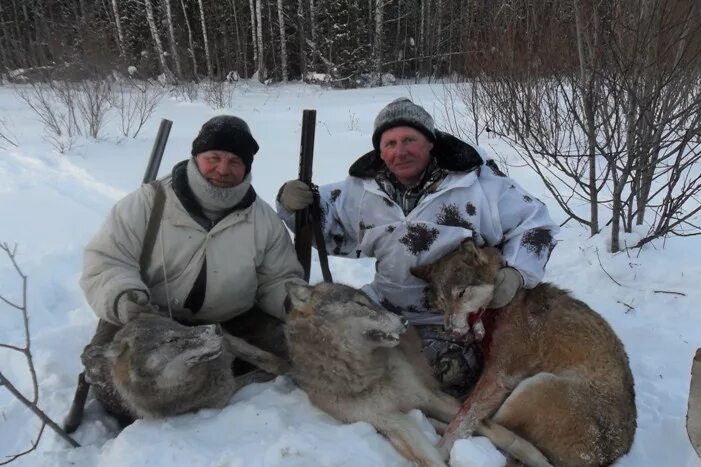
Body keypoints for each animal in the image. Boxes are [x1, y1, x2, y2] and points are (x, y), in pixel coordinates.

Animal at [284, 282, 552, 467]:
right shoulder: (390, 422)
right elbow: (428, 456)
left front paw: (538, 458)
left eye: (371, 302)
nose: (403, 320)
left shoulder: (429, 397)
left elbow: (491, 429)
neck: (364, 372)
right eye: (360, 305)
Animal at [408, 239, 636, 466]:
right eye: (441, 303)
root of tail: (606, 457)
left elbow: (463, 421)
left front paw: (440, 450)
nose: (450, 331)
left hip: (534, 386)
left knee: (496, 431)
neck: (499, 308)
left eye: (461, 293)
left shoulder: (497, 378)